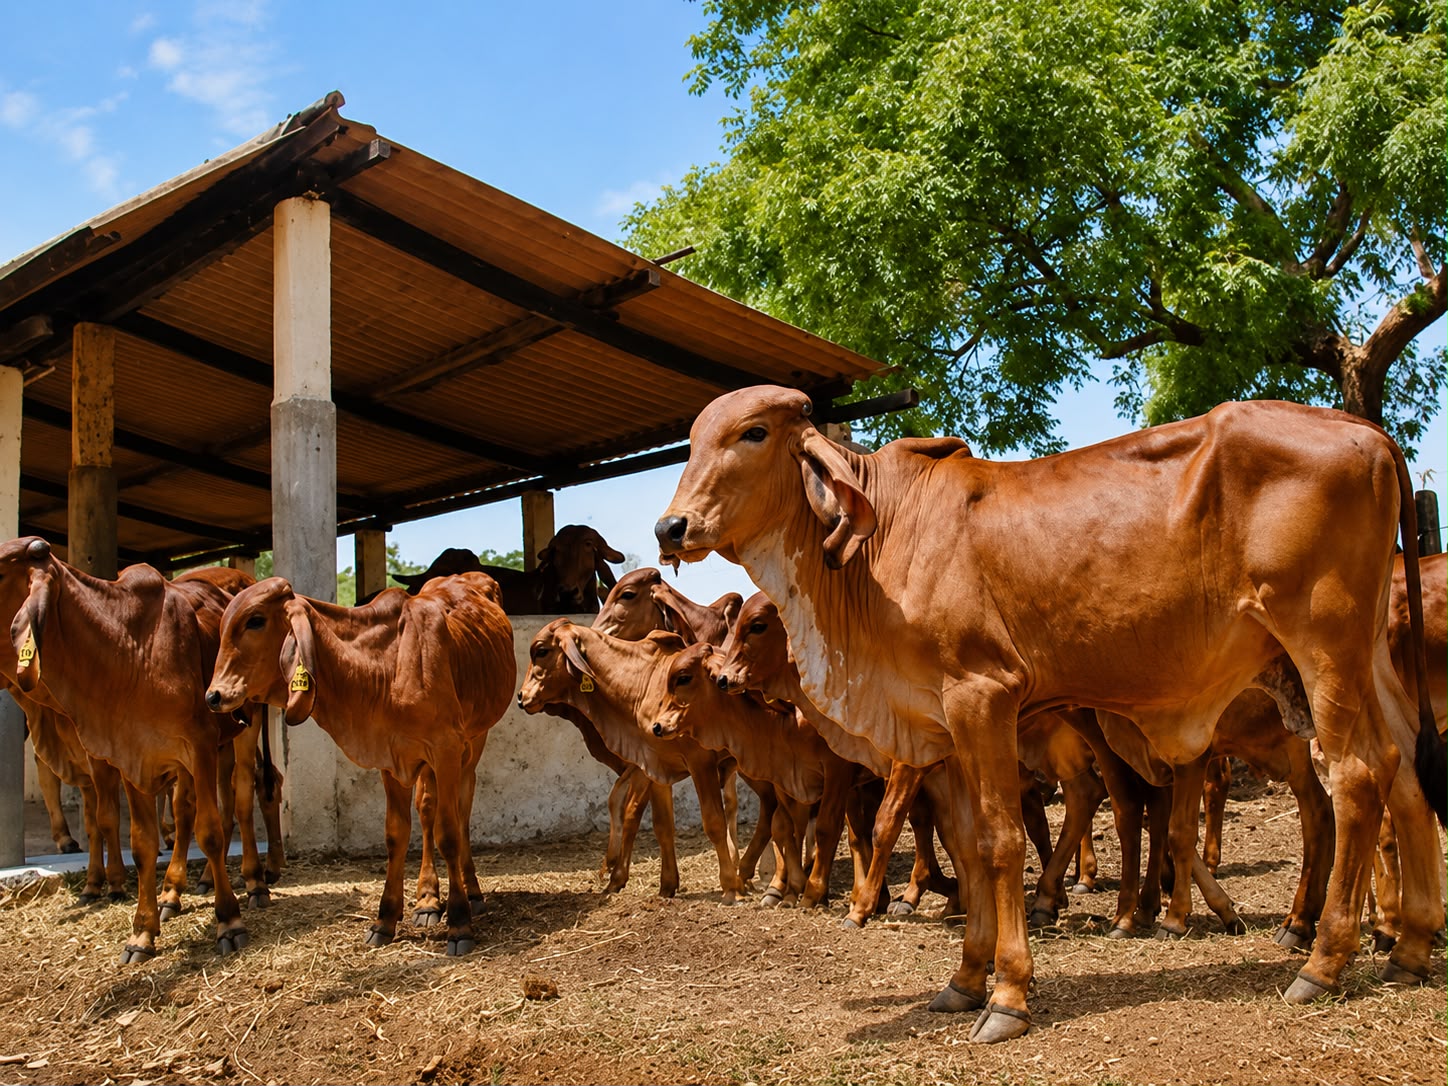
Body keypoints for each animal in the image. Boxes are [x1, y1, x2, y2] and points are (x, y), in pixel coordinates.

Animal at [0, 537, 251, 962]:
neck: (130, 646)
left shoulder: (198, 744)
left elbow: (211, 832)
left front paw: (229, 922)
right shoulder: (130, 754)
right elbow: (140, 841)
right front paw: (142, 932)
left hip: (245, 729)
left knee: (248, 793)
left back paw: (257, 883)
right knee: (184, 813)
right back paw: (172, 894)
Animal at [205, 573, 515, 955]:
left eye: (255, 620)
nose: (214, 695)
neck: (388, 665)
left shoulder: (446, 748)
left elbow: (449, 833)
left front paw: (459, 923)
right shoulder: (392, 759)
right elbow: (396, 834)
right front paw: (386, 919)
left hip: (473, 743)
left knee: (461, 811)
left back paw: (471, 893)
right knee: (427, 808)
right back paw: (427, 900)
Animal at [517, 619, 747, 903]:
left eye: (541, 651)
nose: (521, 696)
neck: (642, 684)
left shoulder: (699, 762)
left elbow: (713, 821)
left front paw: (730, 887)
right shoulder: (656, 767)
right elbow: (661, 825)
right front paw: (666, 885)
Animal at [656, 385, 1448, 1042]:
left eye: (753, 432)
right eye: (690, 441)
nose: (671, 527)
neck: (881, 543)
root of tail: (1363, 429)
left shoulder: (983, 695)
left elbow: (1001, 842)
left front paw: (1008, 996)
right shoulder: (942, 724)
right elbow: (965, 843)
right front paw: (963, 980)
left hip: (1323, 644)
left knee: (1356, 779)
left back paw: (1323, 960)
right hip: (1370, 658)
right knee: (1406, 774)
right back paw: (1409, 948)